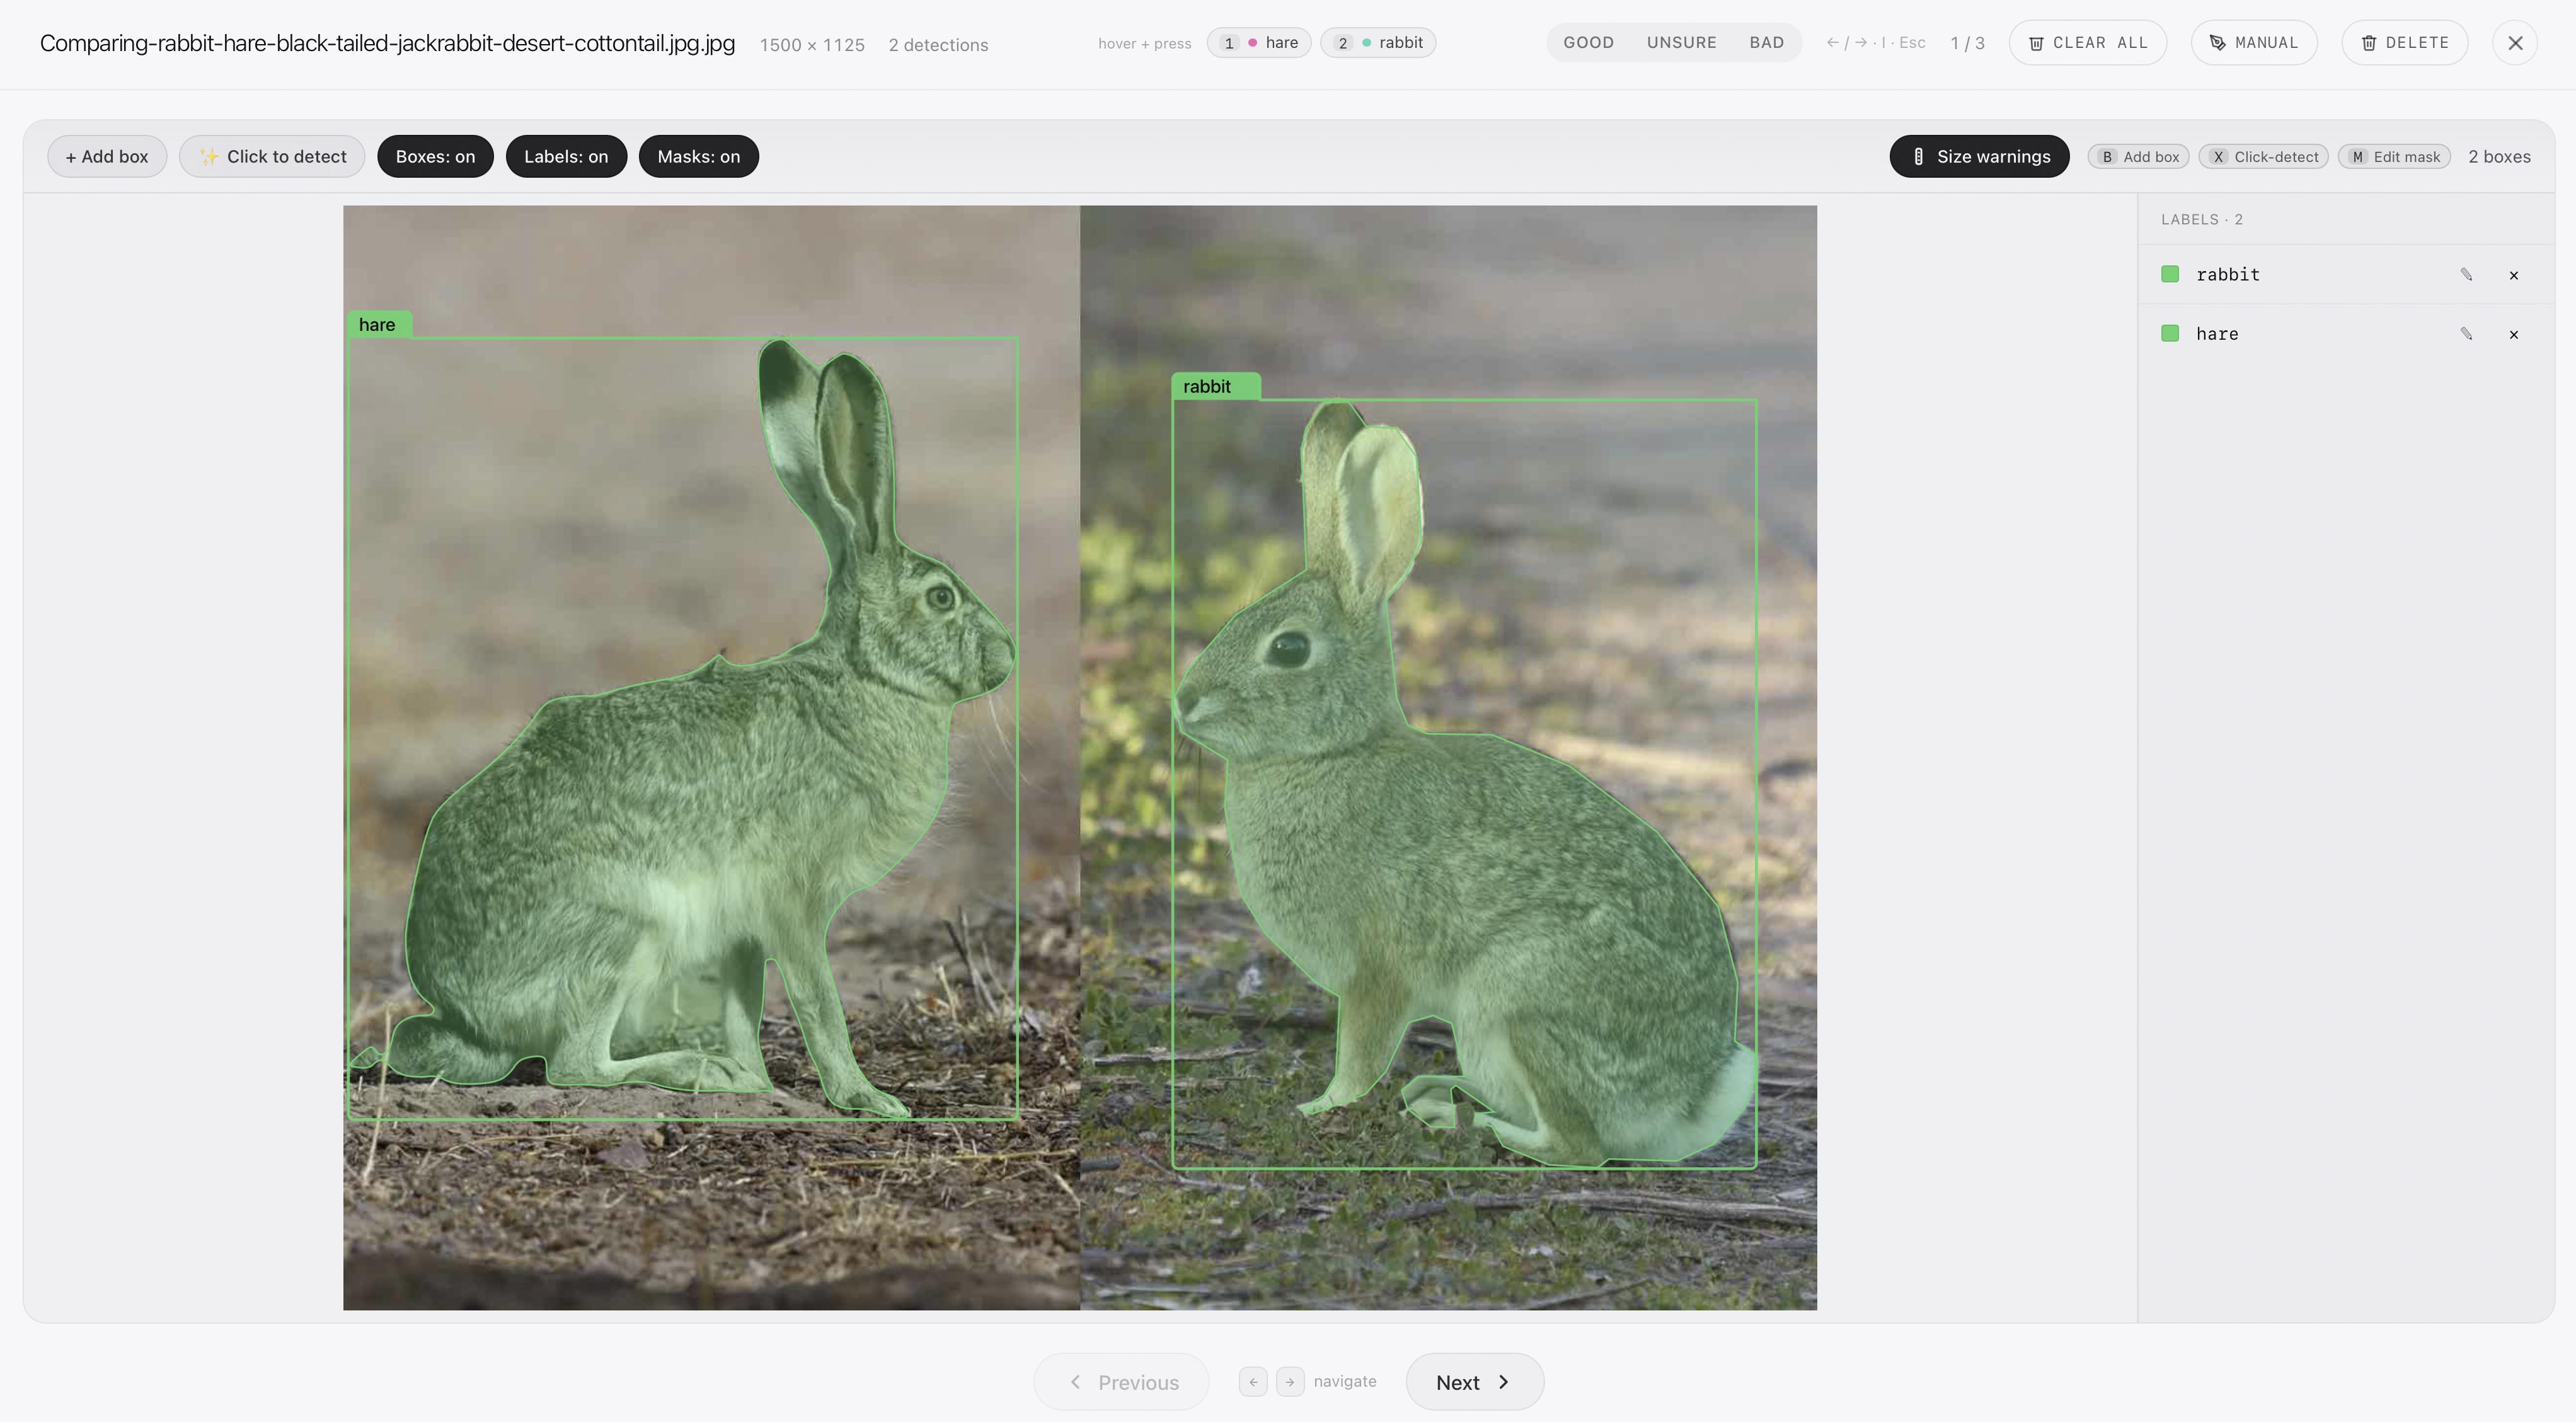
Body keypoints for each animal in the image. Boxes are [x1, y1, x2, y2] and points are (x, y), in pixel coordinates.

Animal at [386, 341, 1015, 1118]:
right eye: (941, 598)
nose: (1008, 656)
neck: (866, 678)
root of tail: (463, 1013)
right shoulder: (793, 900)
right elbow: (819, 1003)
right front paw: (867, 1101)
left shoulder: (742, 925)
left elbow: (744, 1005)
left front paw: (758, 1083)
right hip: (621, 933)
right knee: (574, 1066)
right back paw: (693, 1070)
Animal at [1173, 402, 1756, 1166]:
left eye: (1289, 649)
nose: (1183, 702)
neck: (1334, 751)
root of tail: (1688, 1099)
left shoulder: (1376, 971)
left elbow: (1361, 1052)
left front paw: (1319, 1106)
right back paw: (1439, 1096)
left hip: (1514, 1001)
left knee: (1576, 1144)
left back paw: (1469, 1123)